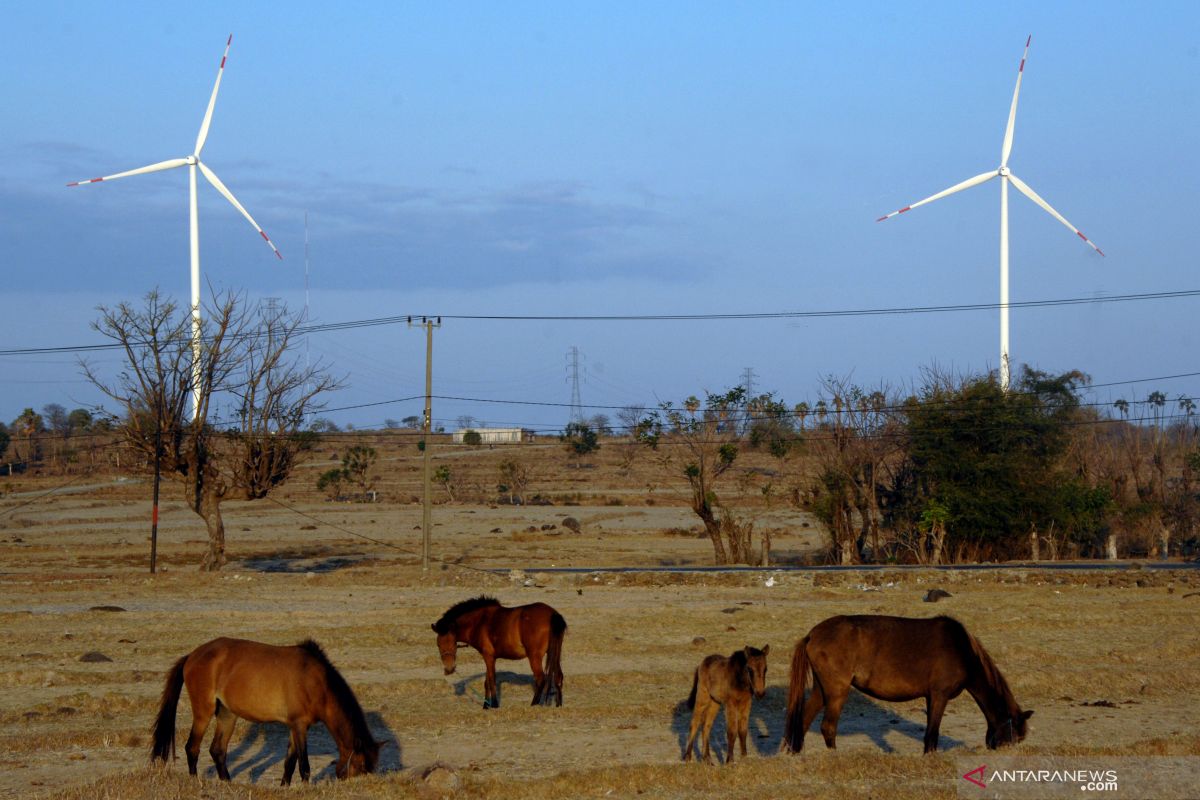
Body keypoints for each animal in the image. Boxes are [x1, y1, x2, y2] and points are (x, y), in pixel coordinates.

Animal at [152, 638, 379, 786]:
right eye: (359, 766)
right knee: (192, 747)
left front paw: (284, 787)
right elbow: (303, 765)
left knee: (217, 750)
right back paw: (195, 781)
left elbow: (290, 761)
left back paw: (228, 783)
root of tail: (192, 655)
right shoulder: (299, 725)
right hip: (203, 712)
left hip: (227, 715)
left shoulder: (294, 726)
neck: (315, 681)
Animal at [432, 594, 566, 705]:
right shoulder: (489, 658)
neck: (480, 621)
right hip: (555, 653)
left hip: (534, 656)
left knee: (540, 679)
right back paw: (558, 705)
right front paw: (486, 705)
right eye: (438, 644)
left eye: (452, 642)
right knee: (558, 676)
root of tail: (552, 614)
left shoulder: (488, 656)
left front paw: (494, 705)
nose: (449, 669)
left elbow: (491, 681)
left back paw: (534, 704)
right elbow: (487, 682)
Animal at [782, 618, 1027, 753]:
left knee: (803, 720)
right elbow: (932, 732)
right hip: (837, 691)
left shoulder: (930, 697)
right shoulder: (940, 695)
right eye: (1015, 736)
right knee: (828, 726)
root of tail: (812, 635)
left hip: (822, 690)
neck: (961, 649)